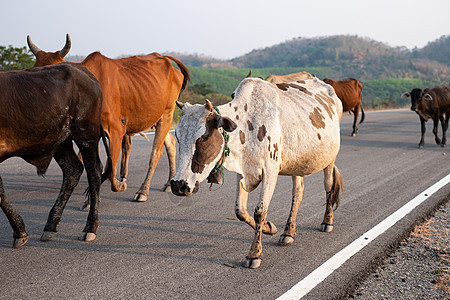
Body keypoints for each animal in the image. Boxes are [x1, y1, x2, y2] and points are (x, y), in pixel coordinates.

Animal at [0, 62, 111, 247]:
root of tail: (83, 71)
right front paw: (20, 231)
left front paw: (20, 232)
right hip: (60, 140)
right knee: (73, 170)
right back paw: (50, 226)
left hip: (86, 134)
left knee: (94, 173)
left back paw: (90, 228)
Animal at [28, 34, 190, 202]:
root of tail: (169, 62)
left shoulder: (117, 130)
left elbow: (110, 167)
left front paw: (116, 187)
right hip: (156, 118)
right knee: (170, 144)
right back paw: (168, 183)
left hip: (167, 114)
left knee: (155, 153)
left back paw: (143, 191)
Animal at [171, 76, 342, 268]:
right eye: (178, 137)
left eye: (204, 137)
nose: (178, 185)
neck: (248, 124)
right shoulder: (242, 172)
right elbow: (240, 211)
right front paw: (269, 227)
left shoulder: (270, 172)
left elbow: (259, 212)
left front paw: (254, 254)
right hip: (298, 161)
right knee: (298, 192)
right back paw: (288, 232)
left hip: (330, 158)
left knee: (328, 186)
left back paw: (327, 221)